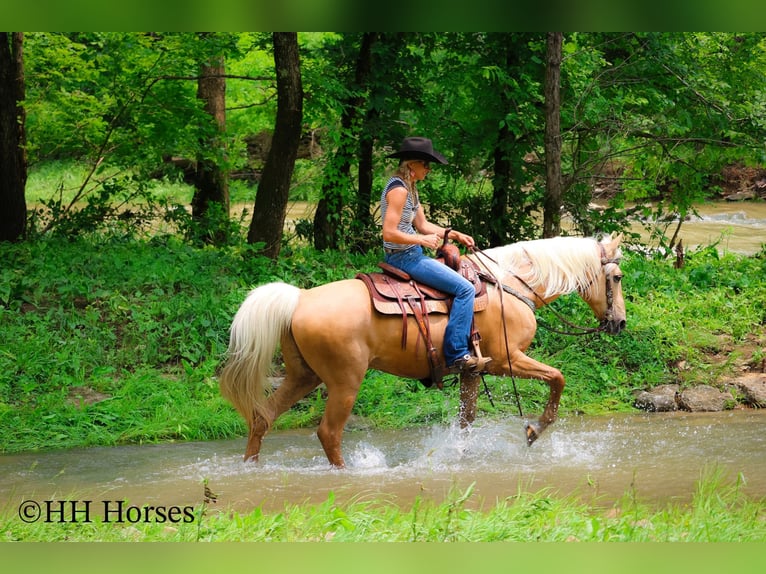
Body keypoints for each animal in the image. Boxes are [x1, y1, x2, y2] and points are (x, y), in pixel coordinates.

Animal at [219, 233, 626, 468]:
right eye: (618, 277)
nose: (620, 323)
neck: (511, 284)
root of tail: (299, 298)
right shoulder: (507, 360)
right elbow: (558, 378)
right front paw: (534, 430)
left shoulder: (473, 369)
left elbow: (466, 421)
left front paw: (460, 459)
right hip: (344, 382)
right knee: (328, 433)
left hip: (303, 376)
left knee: (262, 418)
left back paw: (250, 467)